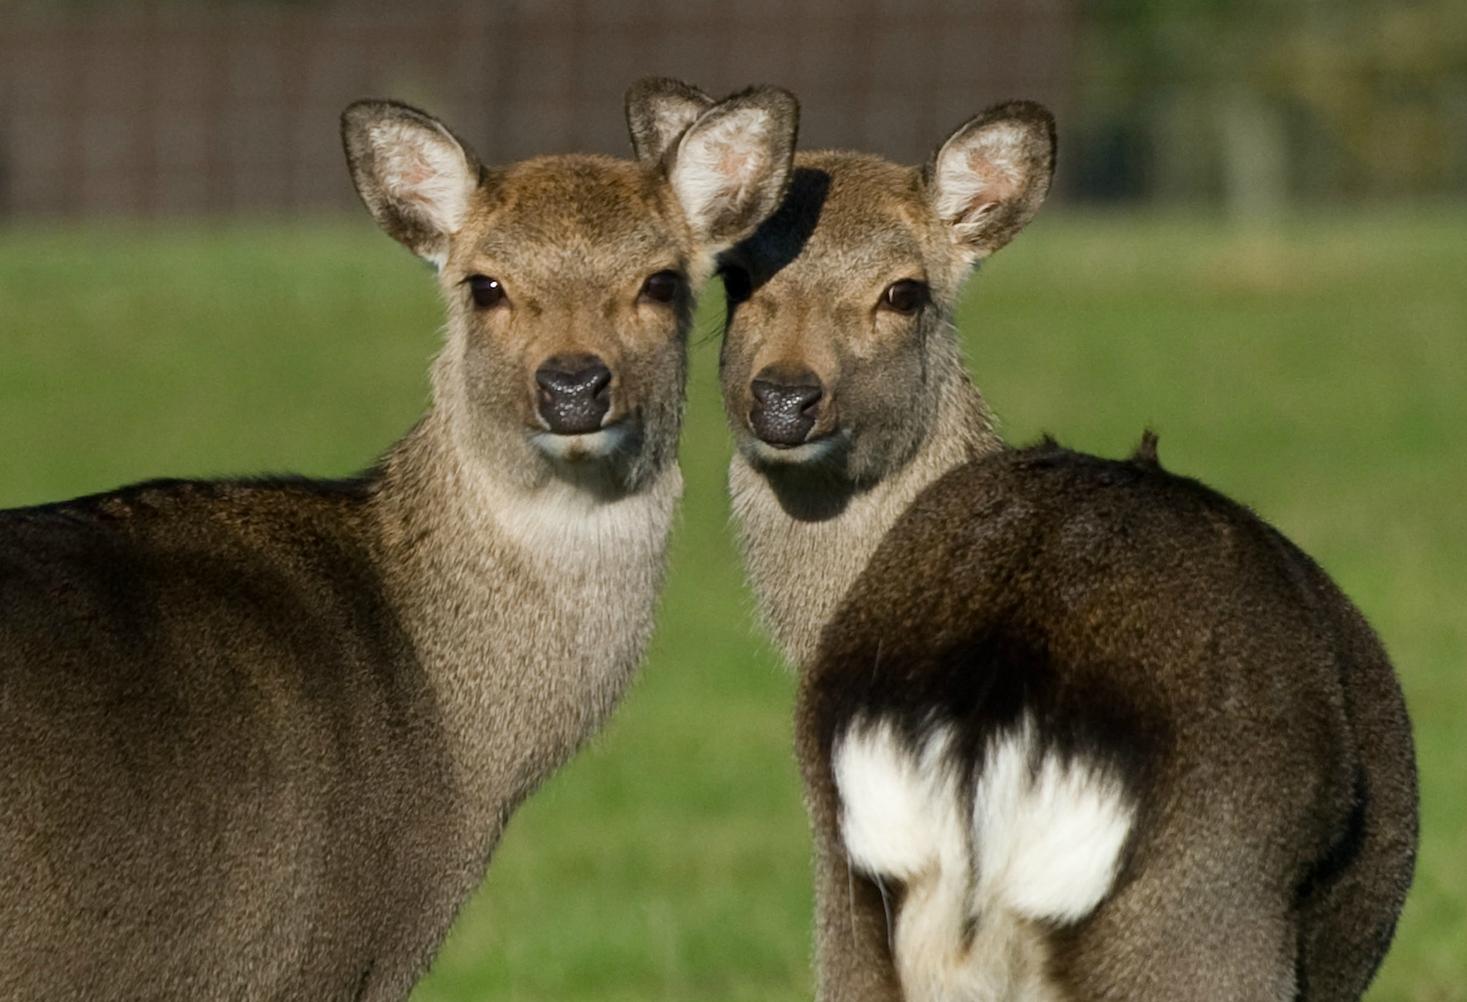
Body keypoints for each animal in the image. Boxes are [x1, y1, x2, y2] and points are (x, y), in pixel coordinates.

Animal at [704, 96, 1414, 1002]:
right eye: (737, 278)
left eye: (904, 291)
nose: (784, 400)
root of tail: (985, 716)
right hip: (1204, 922)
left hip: (846, 918)